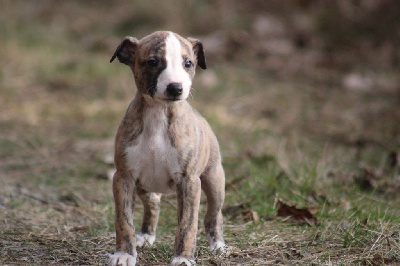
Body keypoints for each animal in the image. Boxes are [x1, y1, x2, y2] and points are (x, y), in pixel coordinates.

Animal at [109, 31, 225, 266]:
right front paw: (125, 254)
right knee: (153, 204)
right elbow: (123, 221)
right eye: (153, 62)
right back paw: (146, 235)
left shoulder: (189, 181)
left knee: (213, 214)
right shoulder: (124, 177)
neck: (159, 113)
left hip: (214, 179)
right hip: (144, 185)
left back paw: (217, 244)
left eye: (188, 63)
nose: (176, 88)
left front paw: (183, 257)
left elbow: (188, 225)